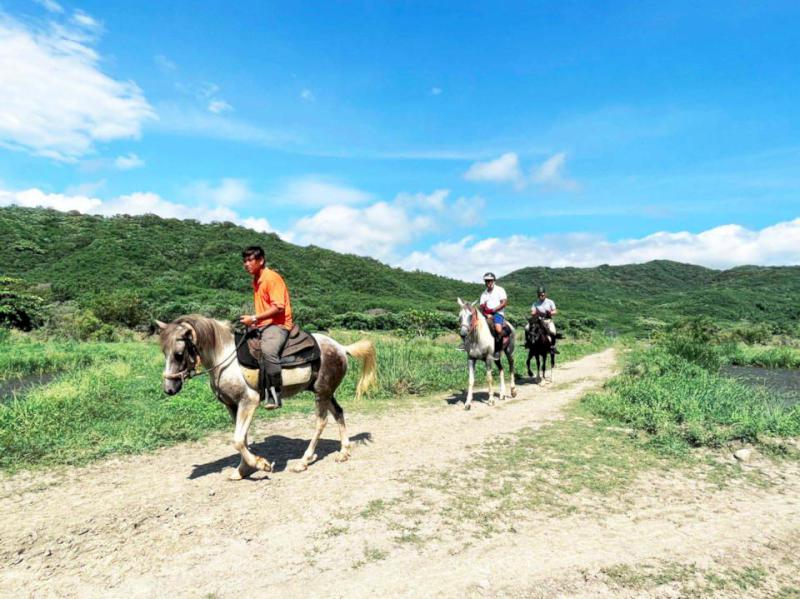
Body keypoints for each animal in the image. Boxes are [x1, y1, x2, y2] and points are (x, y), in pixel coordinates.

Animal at [157, 315, 377, 480]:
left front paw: (260, 464)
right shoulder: (232, 405)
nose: (169, 389)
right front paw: (243, 470)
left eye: (179, 353)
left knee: (321, 422)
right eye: (164, 352)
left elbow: (238, 440)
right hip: (326, 392)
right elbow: (242, 438)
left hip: (322, 393)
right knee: (338, 413)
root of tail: (341, 347)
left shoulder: (249, 401)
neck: (225, 359)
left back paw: (304, 461)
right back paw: (343, 452)